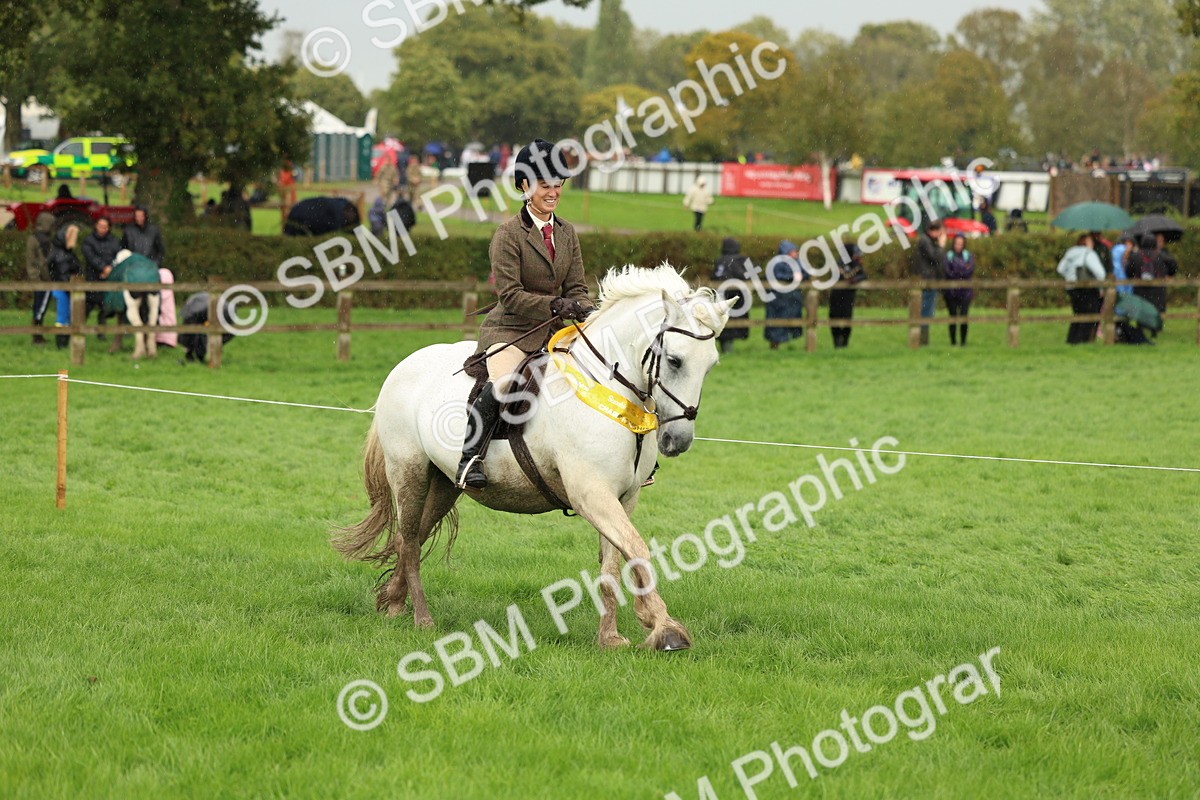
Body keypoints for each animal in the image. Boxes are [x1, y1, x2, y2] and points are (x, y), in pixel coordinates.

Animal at [333, 265, 736, 651]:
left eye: (711, 365)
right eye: (675, 360)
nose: (678, 440)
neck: (609, 390)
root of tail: (403, 366)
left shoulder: (623, 497)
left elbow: (613, 563)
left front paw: (611, 637)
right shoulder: (591, 494)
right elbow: (637, 548)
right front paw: (664, 628)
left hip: (445, 483)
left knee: (412, 537)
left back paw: (393, 603)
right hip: (409, 474)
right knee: (409, 542)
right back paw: (422, 618)